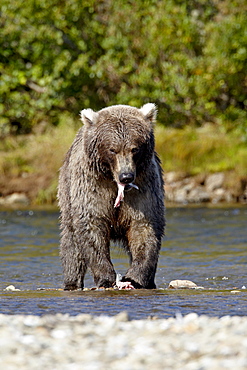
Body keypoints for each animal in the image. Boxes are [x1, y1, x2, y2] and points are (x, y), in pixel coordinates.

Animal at [58, 102, 165, 290]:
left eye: (134, 148)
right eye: (112, 149)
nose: (126, 176)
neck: (113, 180)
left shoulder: (144, 187)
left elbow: (144, 228)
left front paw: (134, 277)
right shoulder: (92, 186)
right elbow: (92, 226)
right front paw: (106, 278)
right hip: (67, 191)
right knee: (71, 242)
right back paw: (72, 282)